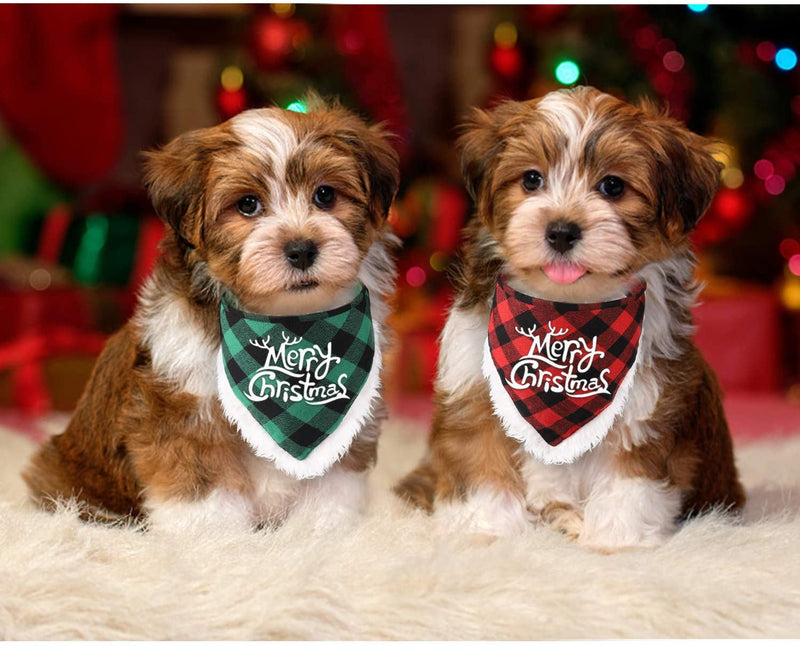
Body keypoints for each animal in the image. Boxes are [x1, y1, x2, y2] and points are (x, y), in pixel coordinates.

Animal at [23, 101, 400, 536]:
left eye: (325, 195)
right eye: (247, 204)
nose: (301, 249)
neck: (286, 324)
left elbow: (329, 484)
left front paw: (319, 531)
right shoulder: (183, 408)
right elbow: (203, 488)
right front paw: (214, 540)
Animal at [396, 85, 748, 552]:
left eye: (613, 186)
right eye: (531, 180)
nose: (562, 231)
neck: (564, 315)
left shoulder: (648, 402)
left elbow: (628, 480)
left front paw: (617, 540)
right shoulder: (472, 382)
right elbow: (481, 463)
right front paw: (485, 530)